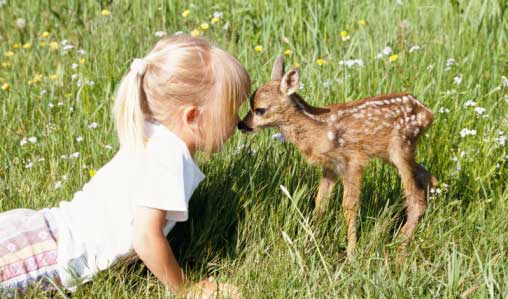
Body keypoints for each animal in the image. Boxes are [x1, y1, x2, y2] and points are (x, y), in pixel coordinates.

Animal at [239, 56, 436, 258]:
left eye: (260, 109)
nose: (241, 125)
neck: (320, 129)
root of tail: (428, 113)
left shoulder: (354, 159)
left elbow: (349, 206)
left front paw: (351, 253)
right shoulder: (331, 165)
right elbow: (320, 202)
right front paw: (309, 242)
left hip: (401, 146)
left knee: (415, 196)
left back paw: (400, 247)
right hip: (394, 152)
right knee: (429, 178)